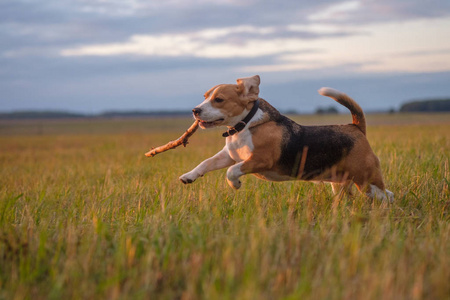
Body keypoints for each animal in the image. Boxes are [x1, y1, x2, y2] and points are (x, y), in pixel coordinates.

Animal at [179, 75, 394, 202]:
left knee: (387, 195)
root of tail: (356, 127)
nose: (195, 111)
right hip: (342, 184)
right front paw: (189, 176)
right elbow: (206, 163)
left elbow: (231, 171)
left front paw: (235, 184)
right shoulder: (229, 155)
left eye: (219, 100)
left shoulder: (259, 160)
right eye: (205, 97)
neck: (246, 125)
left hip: (366, 180)